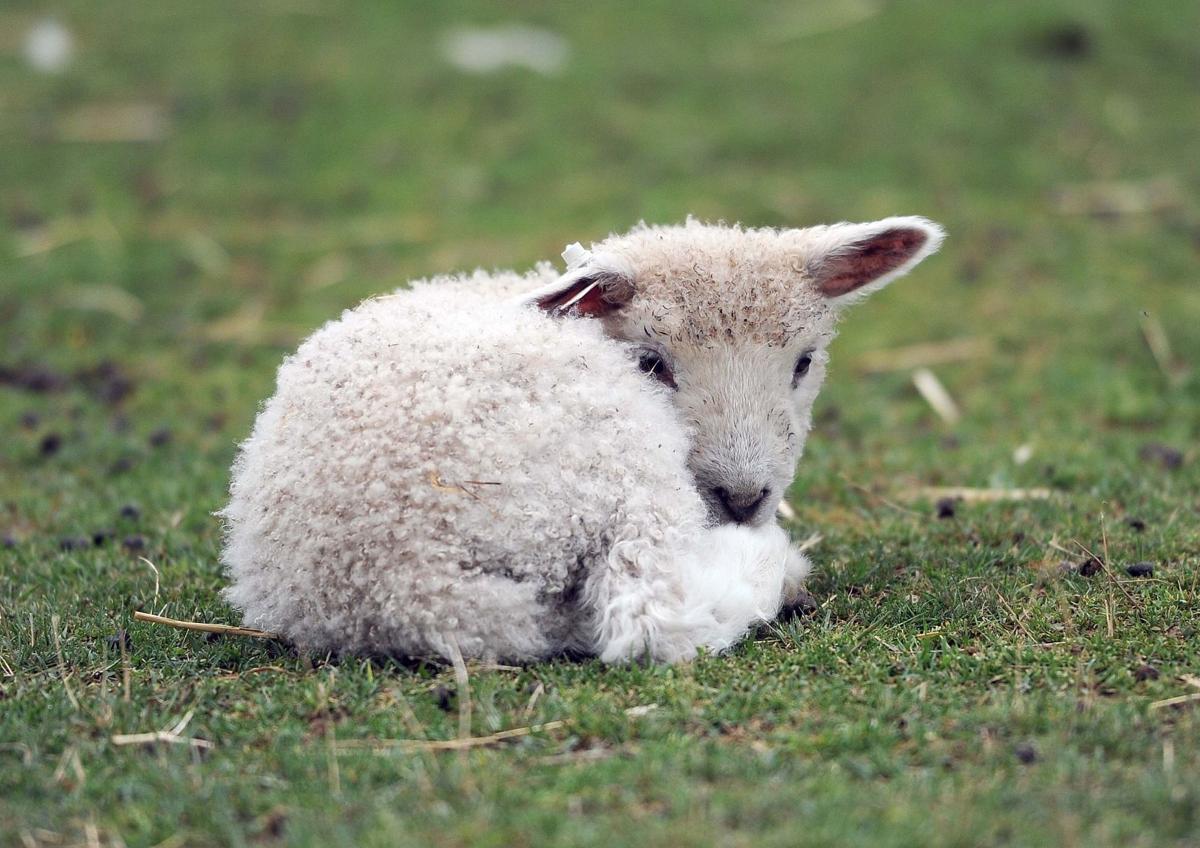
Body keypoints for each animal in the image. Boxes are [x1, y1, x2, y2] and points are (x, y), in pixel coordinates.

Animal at [221, 216, 944, 663]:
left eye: (804, 361)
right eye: (651, 363)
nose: (742, 498)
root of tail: (406, 580)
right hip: (616, 467)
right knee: (652, 615)